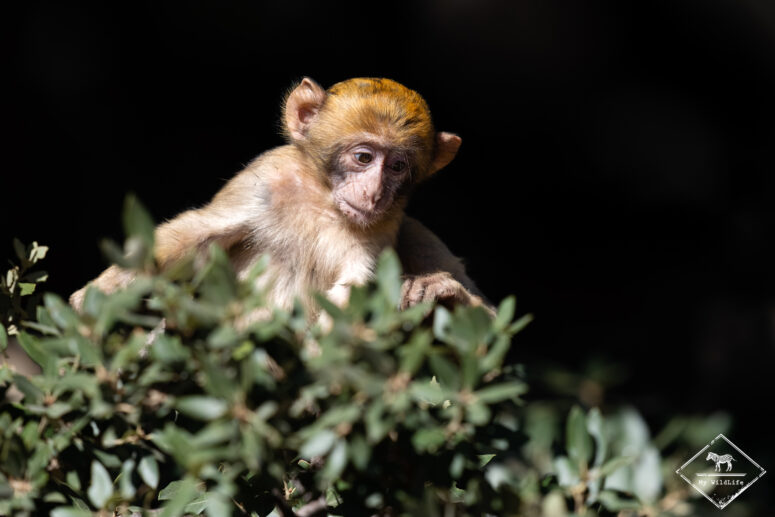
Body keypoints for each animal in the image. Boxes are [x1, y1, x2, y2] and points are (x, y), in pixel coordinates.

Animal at [69, 77, 492, 319]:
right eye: (364, 158)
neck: (322, 201)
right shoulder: (264, 179)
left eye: (398, 167)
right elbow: (201, 232)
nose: (373, 193)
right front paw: (98, 293)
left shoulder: (384, 226)